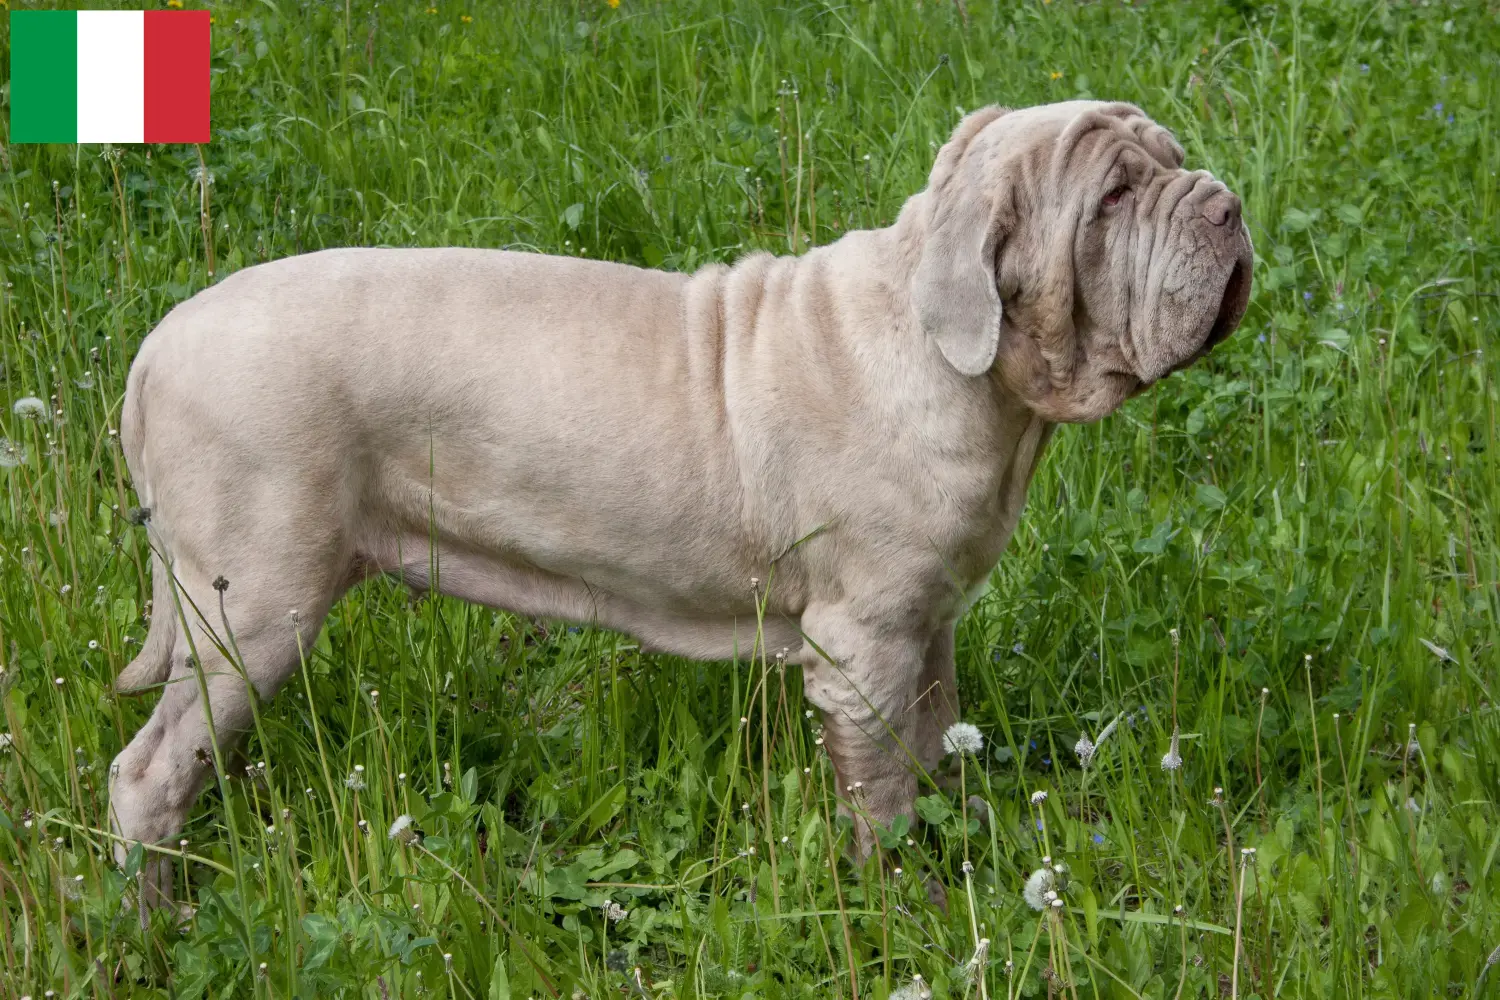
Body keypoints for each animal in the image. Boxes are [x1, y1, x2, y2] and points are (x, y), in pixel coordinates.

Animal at [108, 103, 1254, 905]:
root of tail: (158, 345)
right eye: (1113, 197)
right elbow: (882, 798)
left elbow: (935, 752)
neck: (956, 364)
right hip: (254, 610)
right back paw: (154, 920)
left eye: (1168, 158)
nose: (1224, 203)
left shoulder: (926, 628)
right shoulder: (865, 645)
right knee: (147, 772)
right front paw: (907, 906)